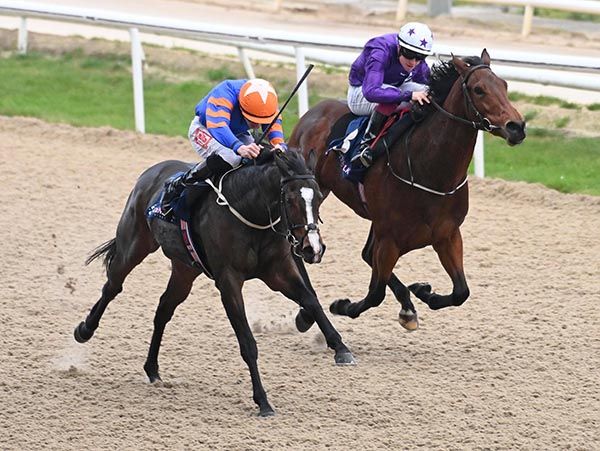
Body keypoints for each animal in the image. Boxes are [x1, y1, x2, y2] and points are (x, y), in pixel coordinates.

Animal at [75, 150, 356, 418]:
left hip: (185, 269)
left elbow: (311, 300)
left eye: (318, 197)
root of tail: (152, 172)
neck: (251, 212)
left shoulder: (279, 272)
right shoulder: (229, 281)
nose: (313, 249)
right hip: (134, 244)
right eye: (289, 200)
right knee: (113, 286)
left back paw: (152, 369)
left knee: (164, 309)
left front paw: (341, 348)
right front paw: (263, 401)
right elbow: (247, 343)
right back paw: (85, 330)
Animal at [290, 53, 524, 334]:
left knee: (366, 254)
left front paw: (423, 292)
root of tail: (313, 112)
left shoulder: (447, 235)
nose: (517, 127)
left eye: (505, 85)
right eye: (479, 90)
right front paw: (342, 306)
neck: (430, 171)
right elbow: (375, 293)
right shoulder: (389, 238)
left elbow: (461, 291)